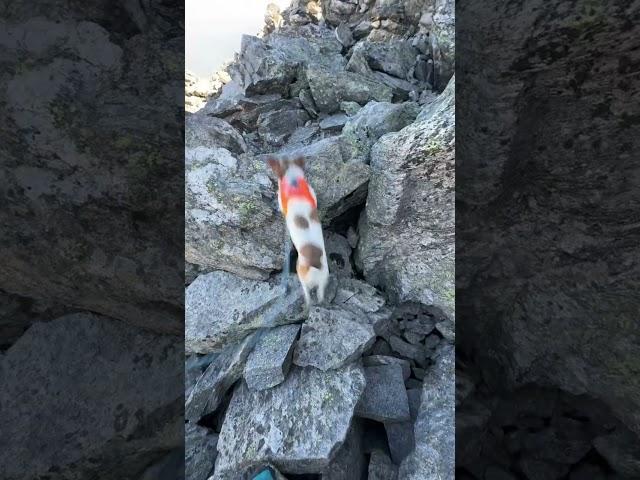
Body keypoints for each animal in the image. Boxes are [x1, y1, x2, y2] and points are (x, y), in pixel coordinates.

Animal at [266, 156, 328, 310]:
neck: (293, 182)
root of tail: (314, 269)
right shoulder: (311, 192)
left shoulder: (282, 198)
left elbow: (280, 204)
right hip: (323, 281)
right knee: (320, 294)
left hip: (301, 275)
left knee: (307, 292)